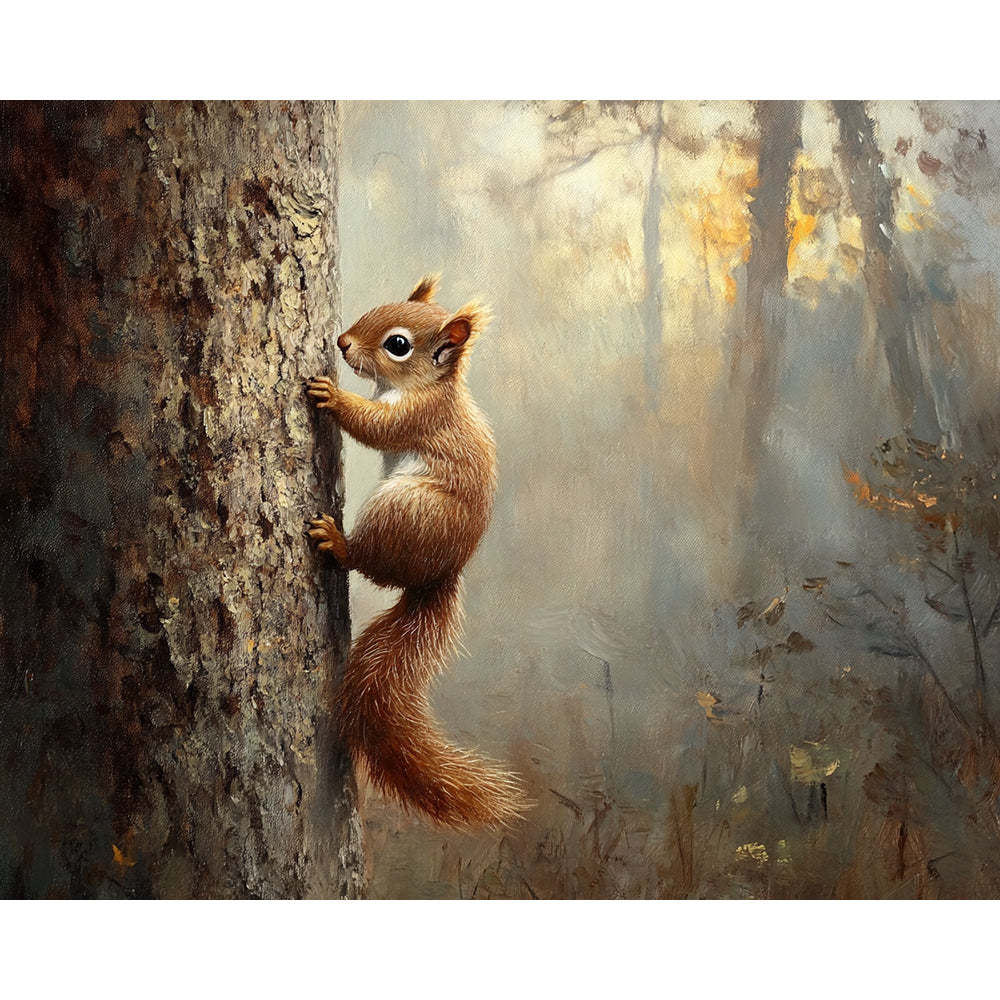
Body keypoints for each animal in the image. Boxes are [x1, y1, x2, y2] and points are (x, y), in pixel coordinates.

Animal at [307, 275, 525, 830]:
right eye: (378, 307)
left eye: (398, 345)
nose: (342, 342)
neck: (419, 387)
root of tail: (436, 575)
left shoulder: (419, 417)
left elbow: (376, 427)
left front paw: (332, 396)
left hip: (404, 510)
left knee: (362, 561)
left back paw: (338, 541)